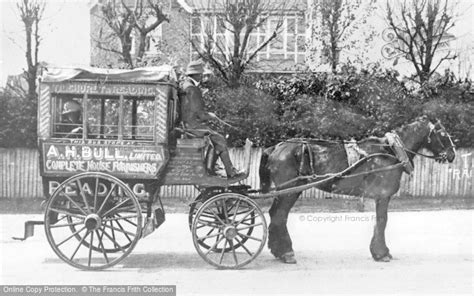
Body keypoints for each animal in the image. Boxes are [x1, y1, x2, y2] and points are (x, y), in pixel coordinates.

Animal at [260, 116, 456, 264]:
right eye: (443, 133)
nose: (452, 154)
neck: (391, 151)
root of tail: (276, 147)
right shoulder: (383, 195)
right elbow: (382, 221)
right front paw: (381, 253)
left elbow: (379, 221)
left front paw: (379, 251)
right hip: (290, 190)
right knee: (280, 215)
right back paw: (286, 252)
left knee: (275, 214)